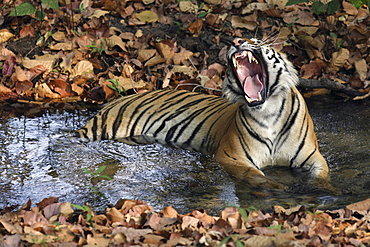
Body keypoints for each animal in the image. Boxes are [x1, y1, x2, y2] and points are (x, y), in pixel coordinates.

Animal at [76, 38, 330, 189]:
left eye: (255, 41)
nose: (237, 40)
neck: (268, 112)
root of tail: (112, 102)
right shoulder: (232, 157)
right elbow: (255, 175)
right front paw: (276, 187)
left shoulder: (312, 155)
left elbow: (322, 175)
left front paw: (321, 189)